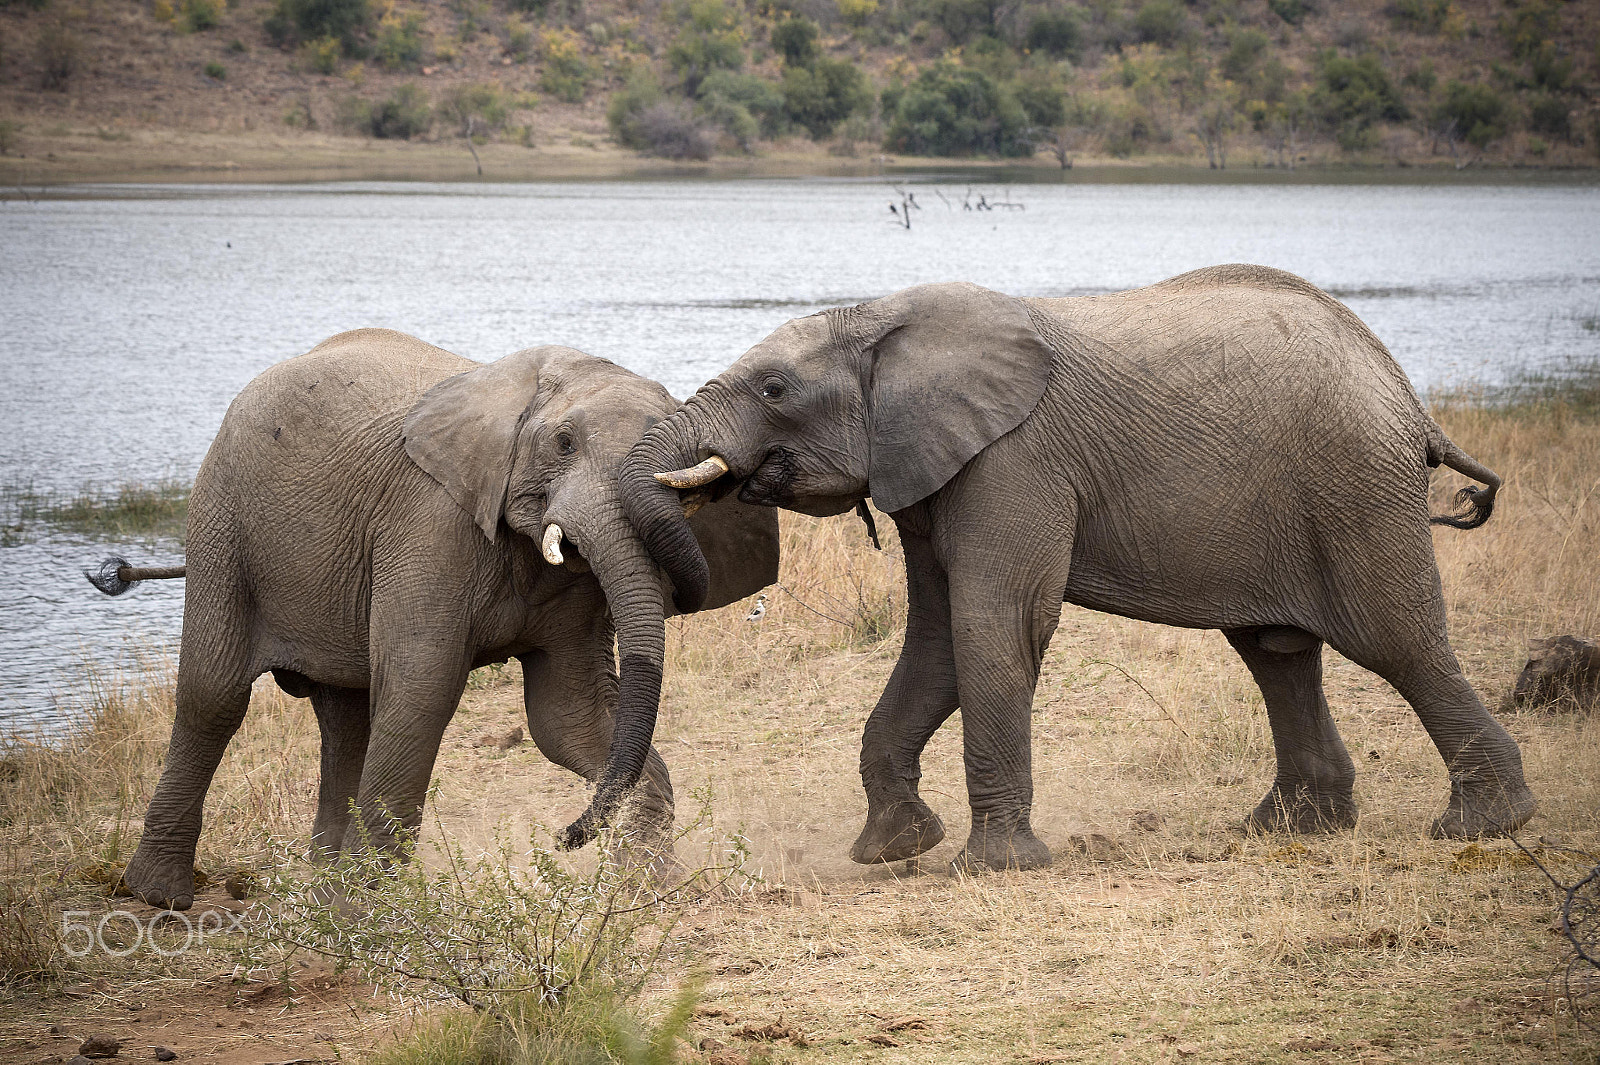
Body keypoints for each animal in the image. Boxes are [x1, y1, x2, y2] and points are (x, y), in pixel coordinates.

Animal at [91, 329, 777, 909]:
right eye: (564, 443)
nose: (565, 838)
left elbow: (568, 718)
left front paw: (649, 887)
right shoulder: (429, 524)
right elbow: (423, 688)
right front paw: (367, 914)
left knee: (345, 715)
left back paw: (319, 887)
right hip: (221, 518)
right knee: (215, 694)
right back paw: (162, 896)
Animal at [619, 264, 1537, 873]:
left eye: (774, 389)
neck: (880, 316)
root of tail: (1410, 400)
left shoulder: (1012, 461)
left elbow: (995, 622)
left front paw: (992, 867)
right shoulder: (932, 467)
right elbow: (938, 639)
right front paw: (891, 849)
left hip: (1353, 486)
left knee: (1398, 644)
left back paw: (1482, 828)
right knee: (1277, 652)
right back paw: (1288, 831)